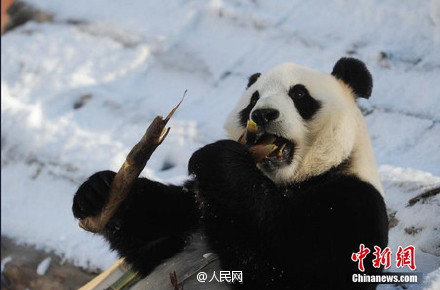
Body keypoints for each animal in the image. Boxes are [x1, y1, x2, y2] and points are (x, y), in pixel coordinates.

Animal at [72, 57, 388, 290]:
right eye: (253, 100)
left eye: (299, 94)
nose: (262, 114)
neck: (284, 182)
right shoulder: (196, 208)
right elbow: (153, 233)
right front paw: (97, 191)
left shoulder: (352, 202)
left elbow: (302, 274)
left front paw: (219, 160)